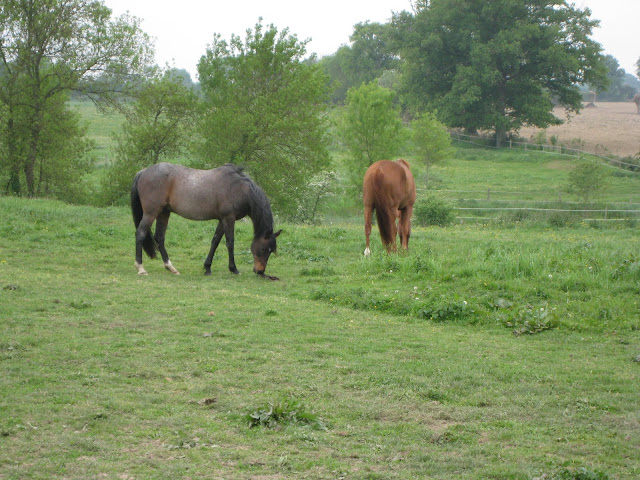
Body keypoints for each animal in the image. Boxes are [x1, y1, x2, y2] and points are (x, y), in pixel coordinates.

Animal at [130, 162, 281, 279]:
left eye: (271, 250)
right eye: (264, 249)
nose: (260, 271)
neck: (240, 189)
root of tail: (143, 172)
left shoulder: (222, 220)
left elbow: (215, 242)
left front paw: (207, 267)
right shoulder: (229, 219)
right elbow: (230, 243)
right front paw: (233, 269)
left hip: (163, 213)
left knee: (159, 238)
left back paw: (171, 267)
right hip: (151, 213)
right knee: (140, 233)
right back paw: (141, 268)